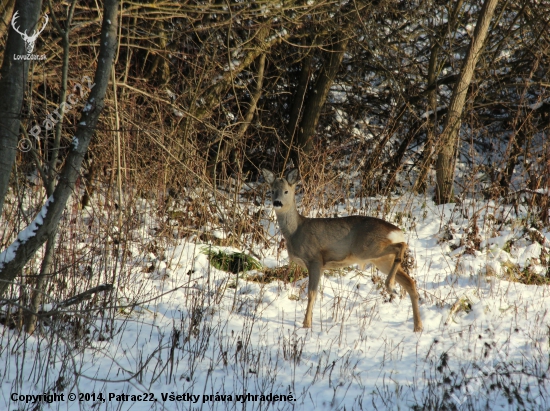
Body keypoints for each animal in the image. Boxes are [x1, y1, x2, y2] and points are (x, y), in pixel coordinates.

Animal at [266, 169, 424, 334]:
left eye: (286, 191)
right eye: (272, 190)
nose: (277, 202)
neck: (295, 231)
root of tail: (396, 231)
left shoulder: (315, 259)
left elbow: (311, 293)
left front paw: (306, 324)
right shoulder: (321, 266)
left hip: (366, 249)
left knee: (402, 245)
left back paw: (390, 286)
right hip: (382, 260)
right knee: (410, 281)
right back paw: (417, 326)